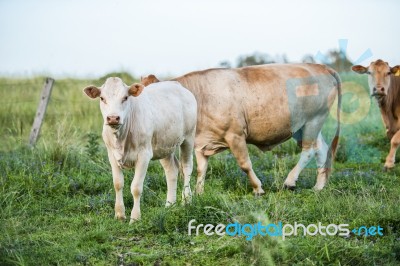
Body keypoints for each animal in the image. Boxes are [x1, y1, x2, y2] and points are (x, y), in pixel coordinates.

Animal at [141, 63, 340, 194]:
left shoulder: (235, 135)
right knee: (321, 149)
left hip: (314, 120)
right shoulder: (201, 143)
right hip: (303, 126)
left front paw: (258, 188)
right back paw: (318, 186)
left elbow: (245, 164)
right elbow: (201, 170)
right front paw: (199, 193)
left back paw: (290, 181)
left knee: (308, 151)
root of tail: (320, 67)